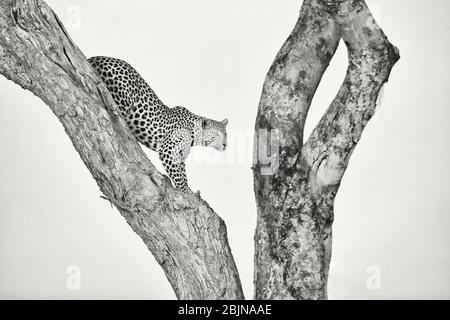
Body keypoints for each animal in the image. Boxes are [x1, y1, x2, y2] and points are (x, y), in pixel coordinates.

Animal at [88, 55, 229, 192]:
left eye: (226, 134)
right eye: (217, 134)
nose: (225, 145)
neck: (194, 135)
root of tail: (96, 57)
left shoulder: (179, 155)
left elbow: (182, 173)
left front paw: (189, 189)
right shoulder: (168, 150)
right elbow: (179, 177)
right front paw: (186, 191)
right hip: (122, 98)